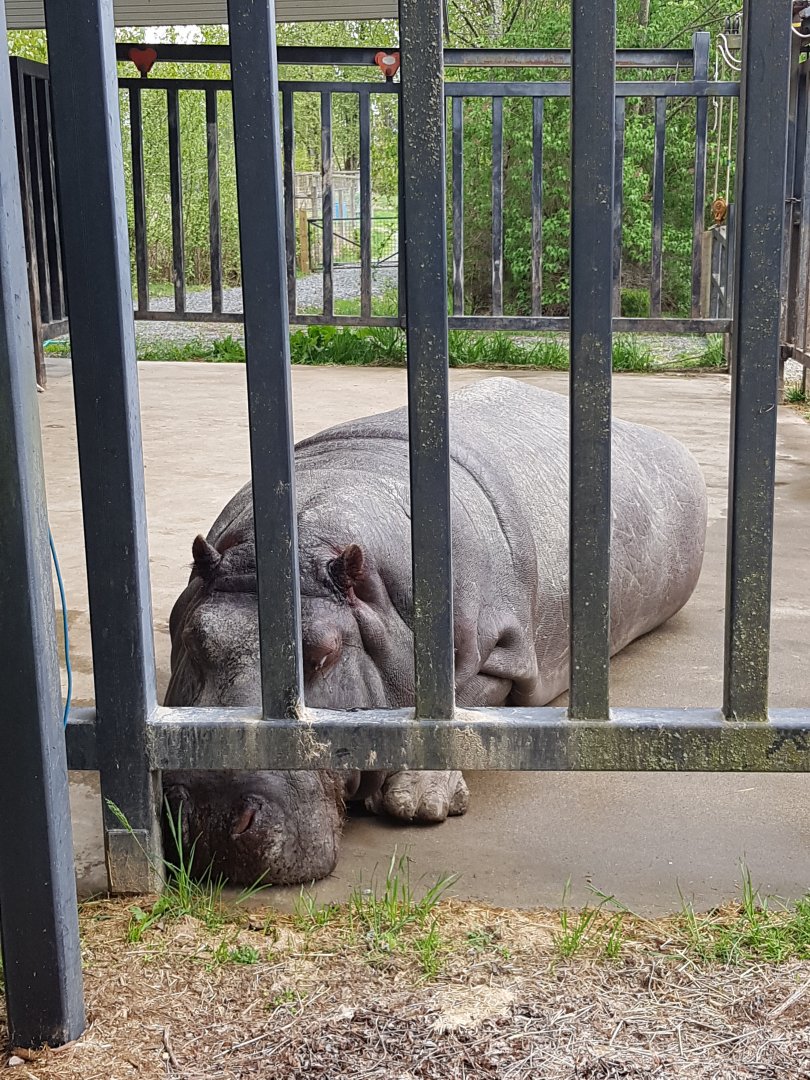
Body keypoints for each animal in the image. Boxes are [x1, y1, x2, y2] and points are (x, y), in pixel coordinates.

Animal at [163, 378, 707, 885]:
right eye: (193, 639)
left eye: (323, 653)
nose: (214, 815)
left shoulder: (502, 654)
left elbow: (458, 702)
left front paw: (419, 801)